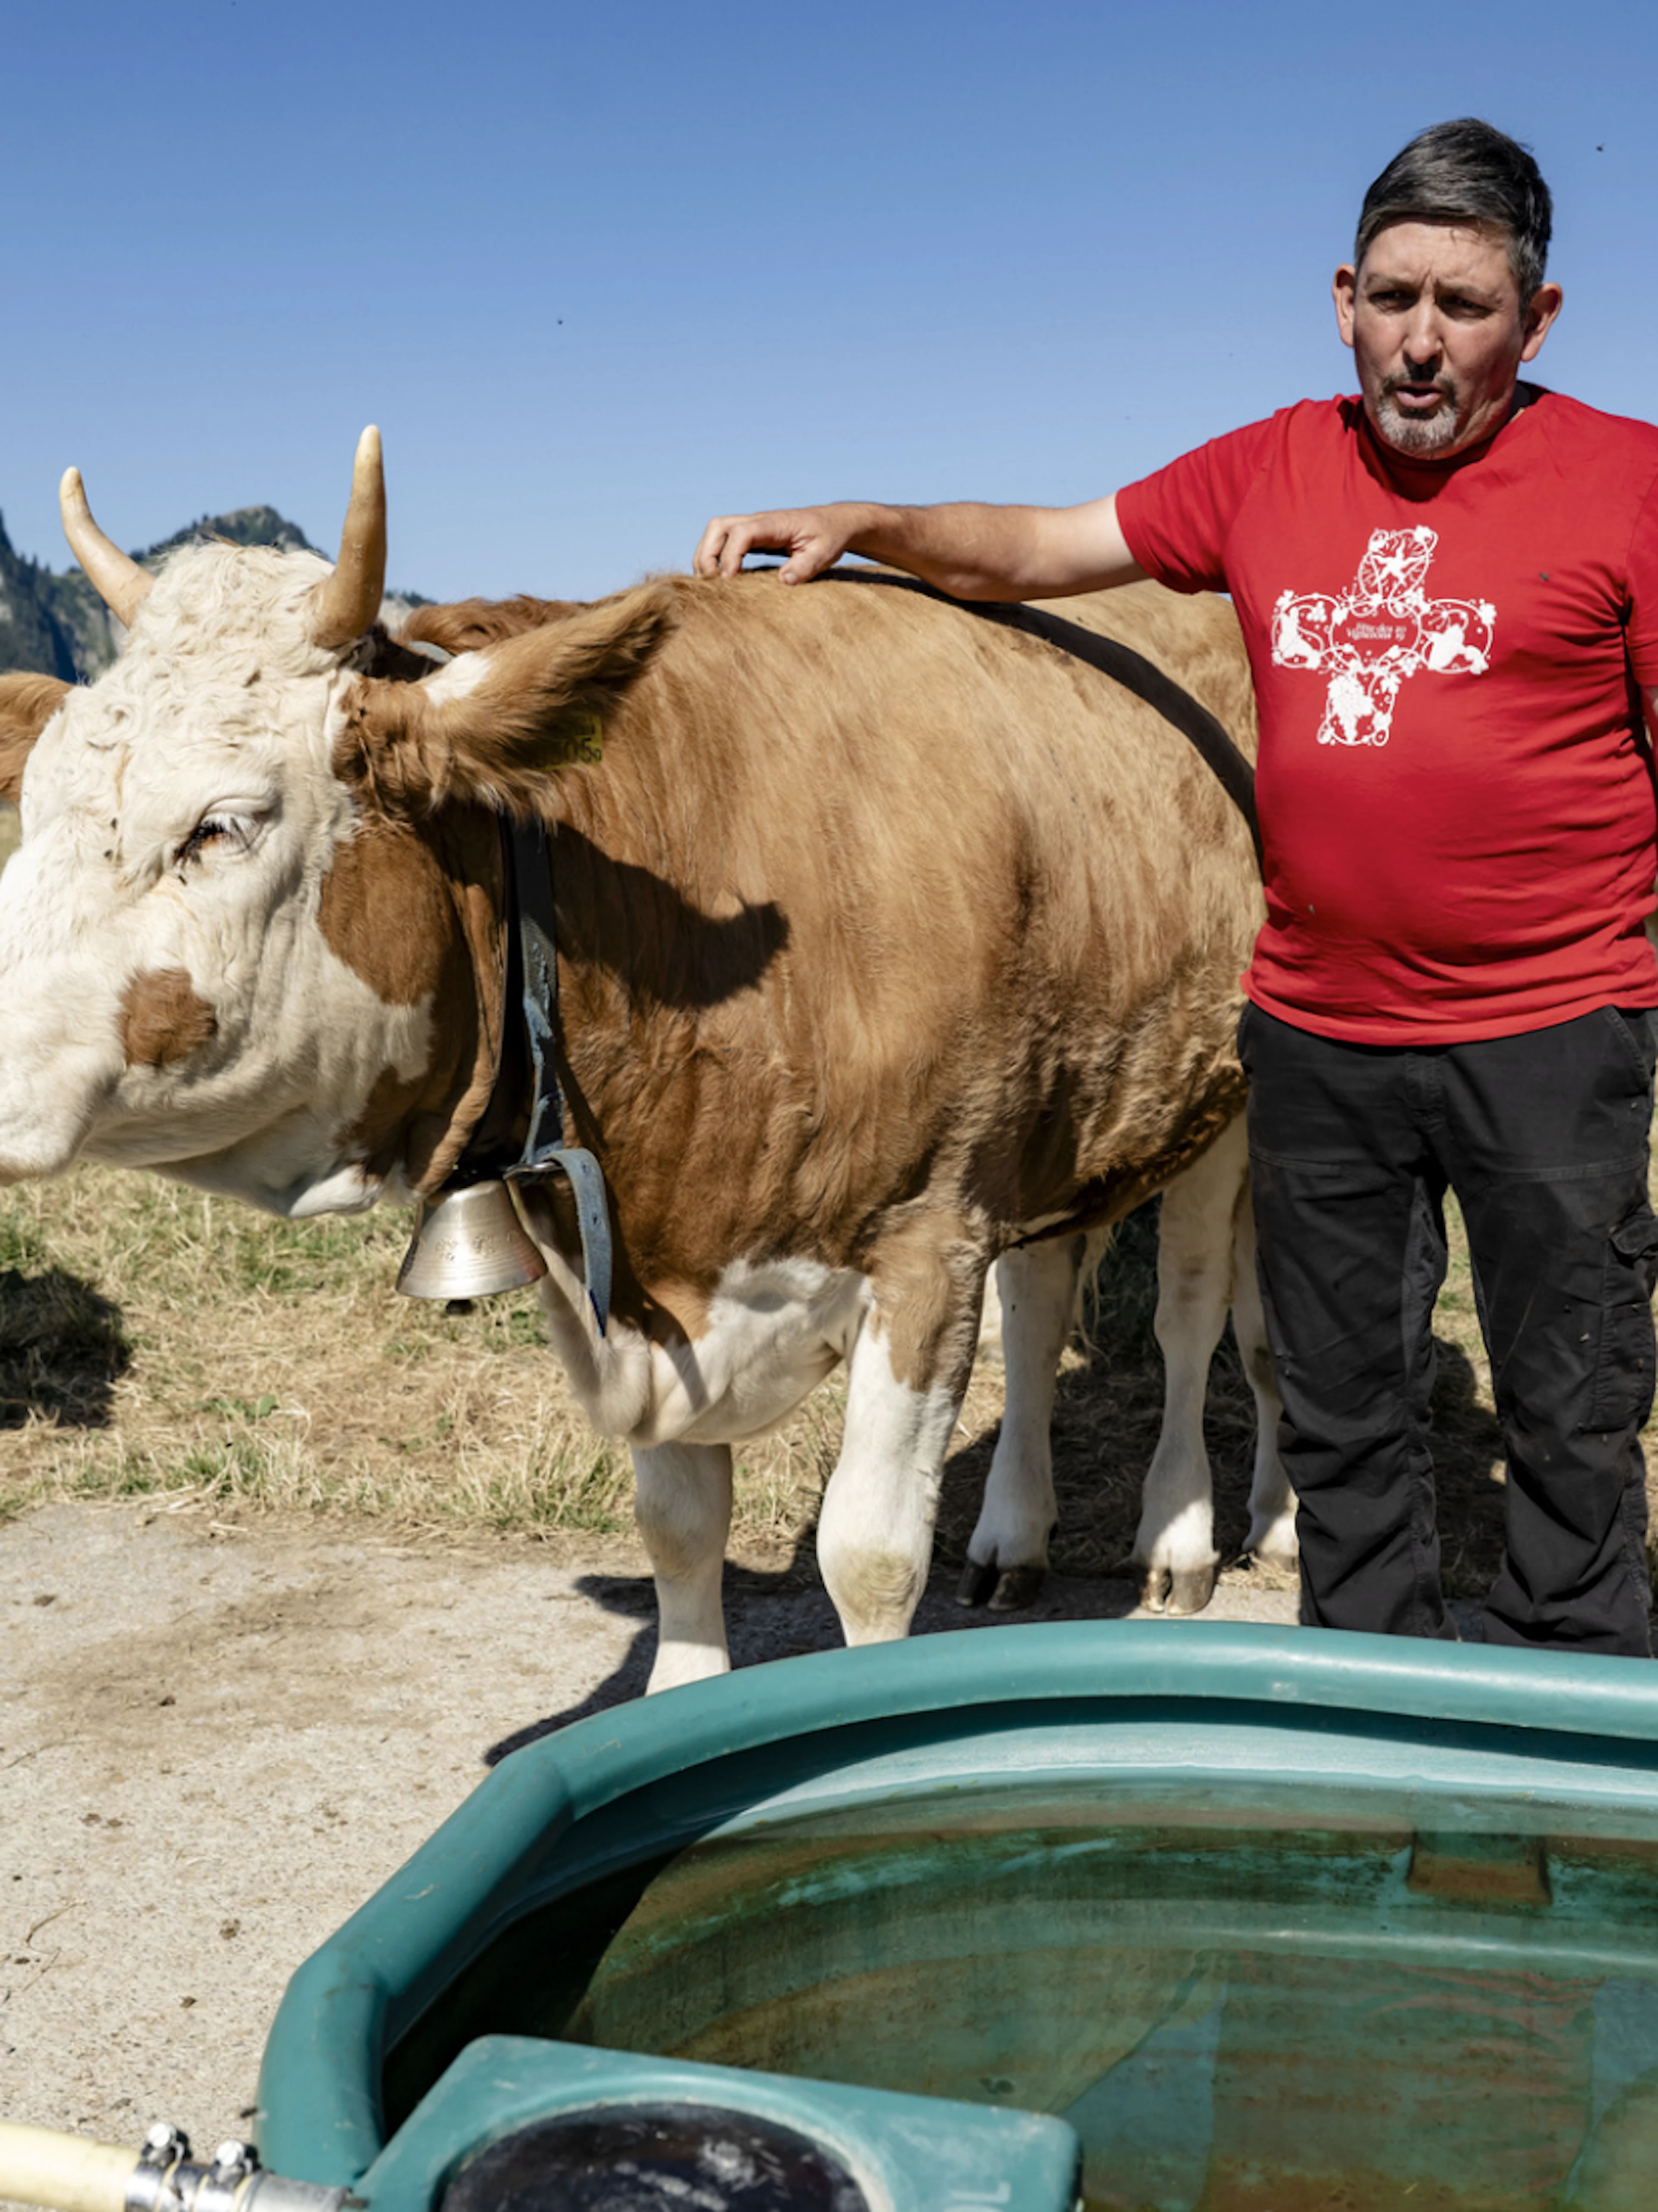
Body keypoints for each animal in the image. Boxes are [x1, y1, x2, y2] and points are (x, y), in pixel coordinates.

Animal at [0, 431, 1293, 1691]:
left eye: (220, 825)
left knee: (1200, 1313)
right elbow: (677, 1524)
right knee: (1043, 1299)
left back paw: (1197, 1533)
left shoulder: (928, 1238)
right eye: (40, 807)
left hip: (1216, 1106)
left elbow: (869, 1555)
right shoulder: (632, 1274)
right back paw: (1017, 1533)